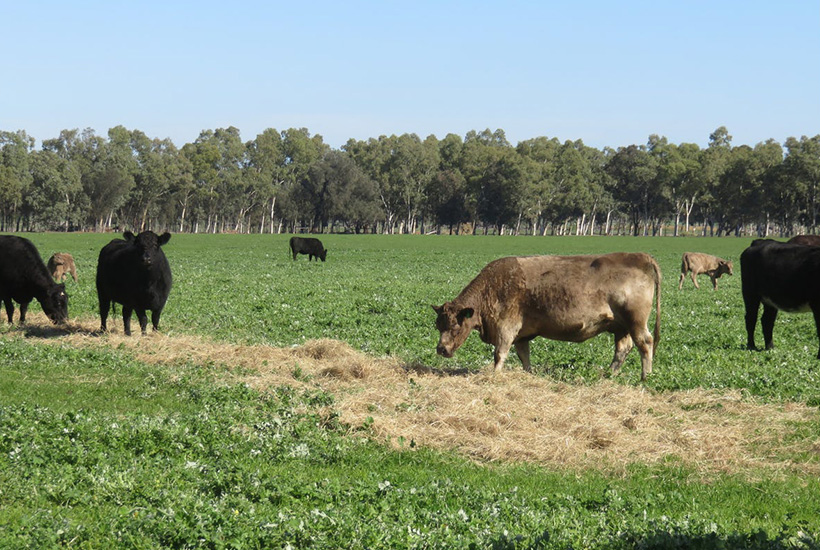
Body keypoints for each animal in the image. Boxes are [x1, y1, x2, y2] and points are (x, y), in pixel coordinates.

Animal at [436, 253, 660, 380]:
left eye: (455, 326)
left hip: (636, 321)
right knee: (622, 349)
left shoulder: (506, 328)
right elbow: (524, 356)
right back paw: (609, 375)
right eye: (438, 325)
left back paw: (645, 377)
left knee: (645, 343)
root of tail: (640, 256)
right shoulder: (521, 335)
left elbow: (499, 354)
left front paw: (495, 376)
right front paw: (528, 375)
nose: (441, 349)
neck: (492, 288)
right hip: (621, 327)